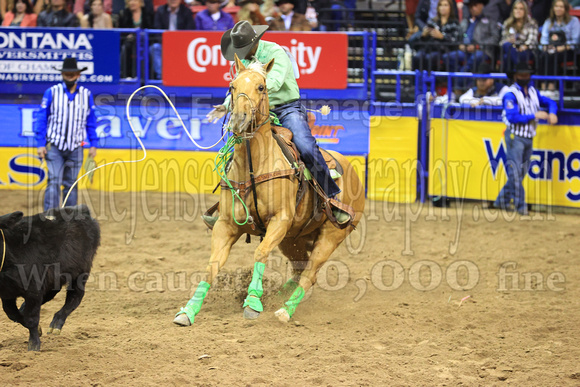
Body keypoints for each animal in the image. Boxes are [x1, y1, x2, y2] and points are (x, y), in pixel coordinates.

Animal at [0, 206, 99, 352]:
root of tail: (80, 209)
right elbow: (13, 314)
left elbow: (31, 318)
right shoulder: (7, 294)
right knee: (51, 294)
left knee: (75, 296)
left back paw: (57, 323)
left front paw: (34, 345)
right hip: (55, 278)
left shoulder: (34, 290)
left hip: (81, 271)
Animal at [172, 55, 364, 328]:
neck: (255, 165)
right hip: (293, 239)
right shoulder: (225, 224)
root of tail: (352, 170)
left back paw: (285, 310)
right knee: (299, 269)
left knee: (309, 274)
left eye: (261, 87)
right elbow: (212, 265)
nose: (238, 119)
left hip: (330, 236)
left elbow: (260, 252)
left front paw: (253, 302)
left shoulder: (280, 220)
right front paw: (188, 310)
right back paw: (279, 296)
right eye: (232, 86)